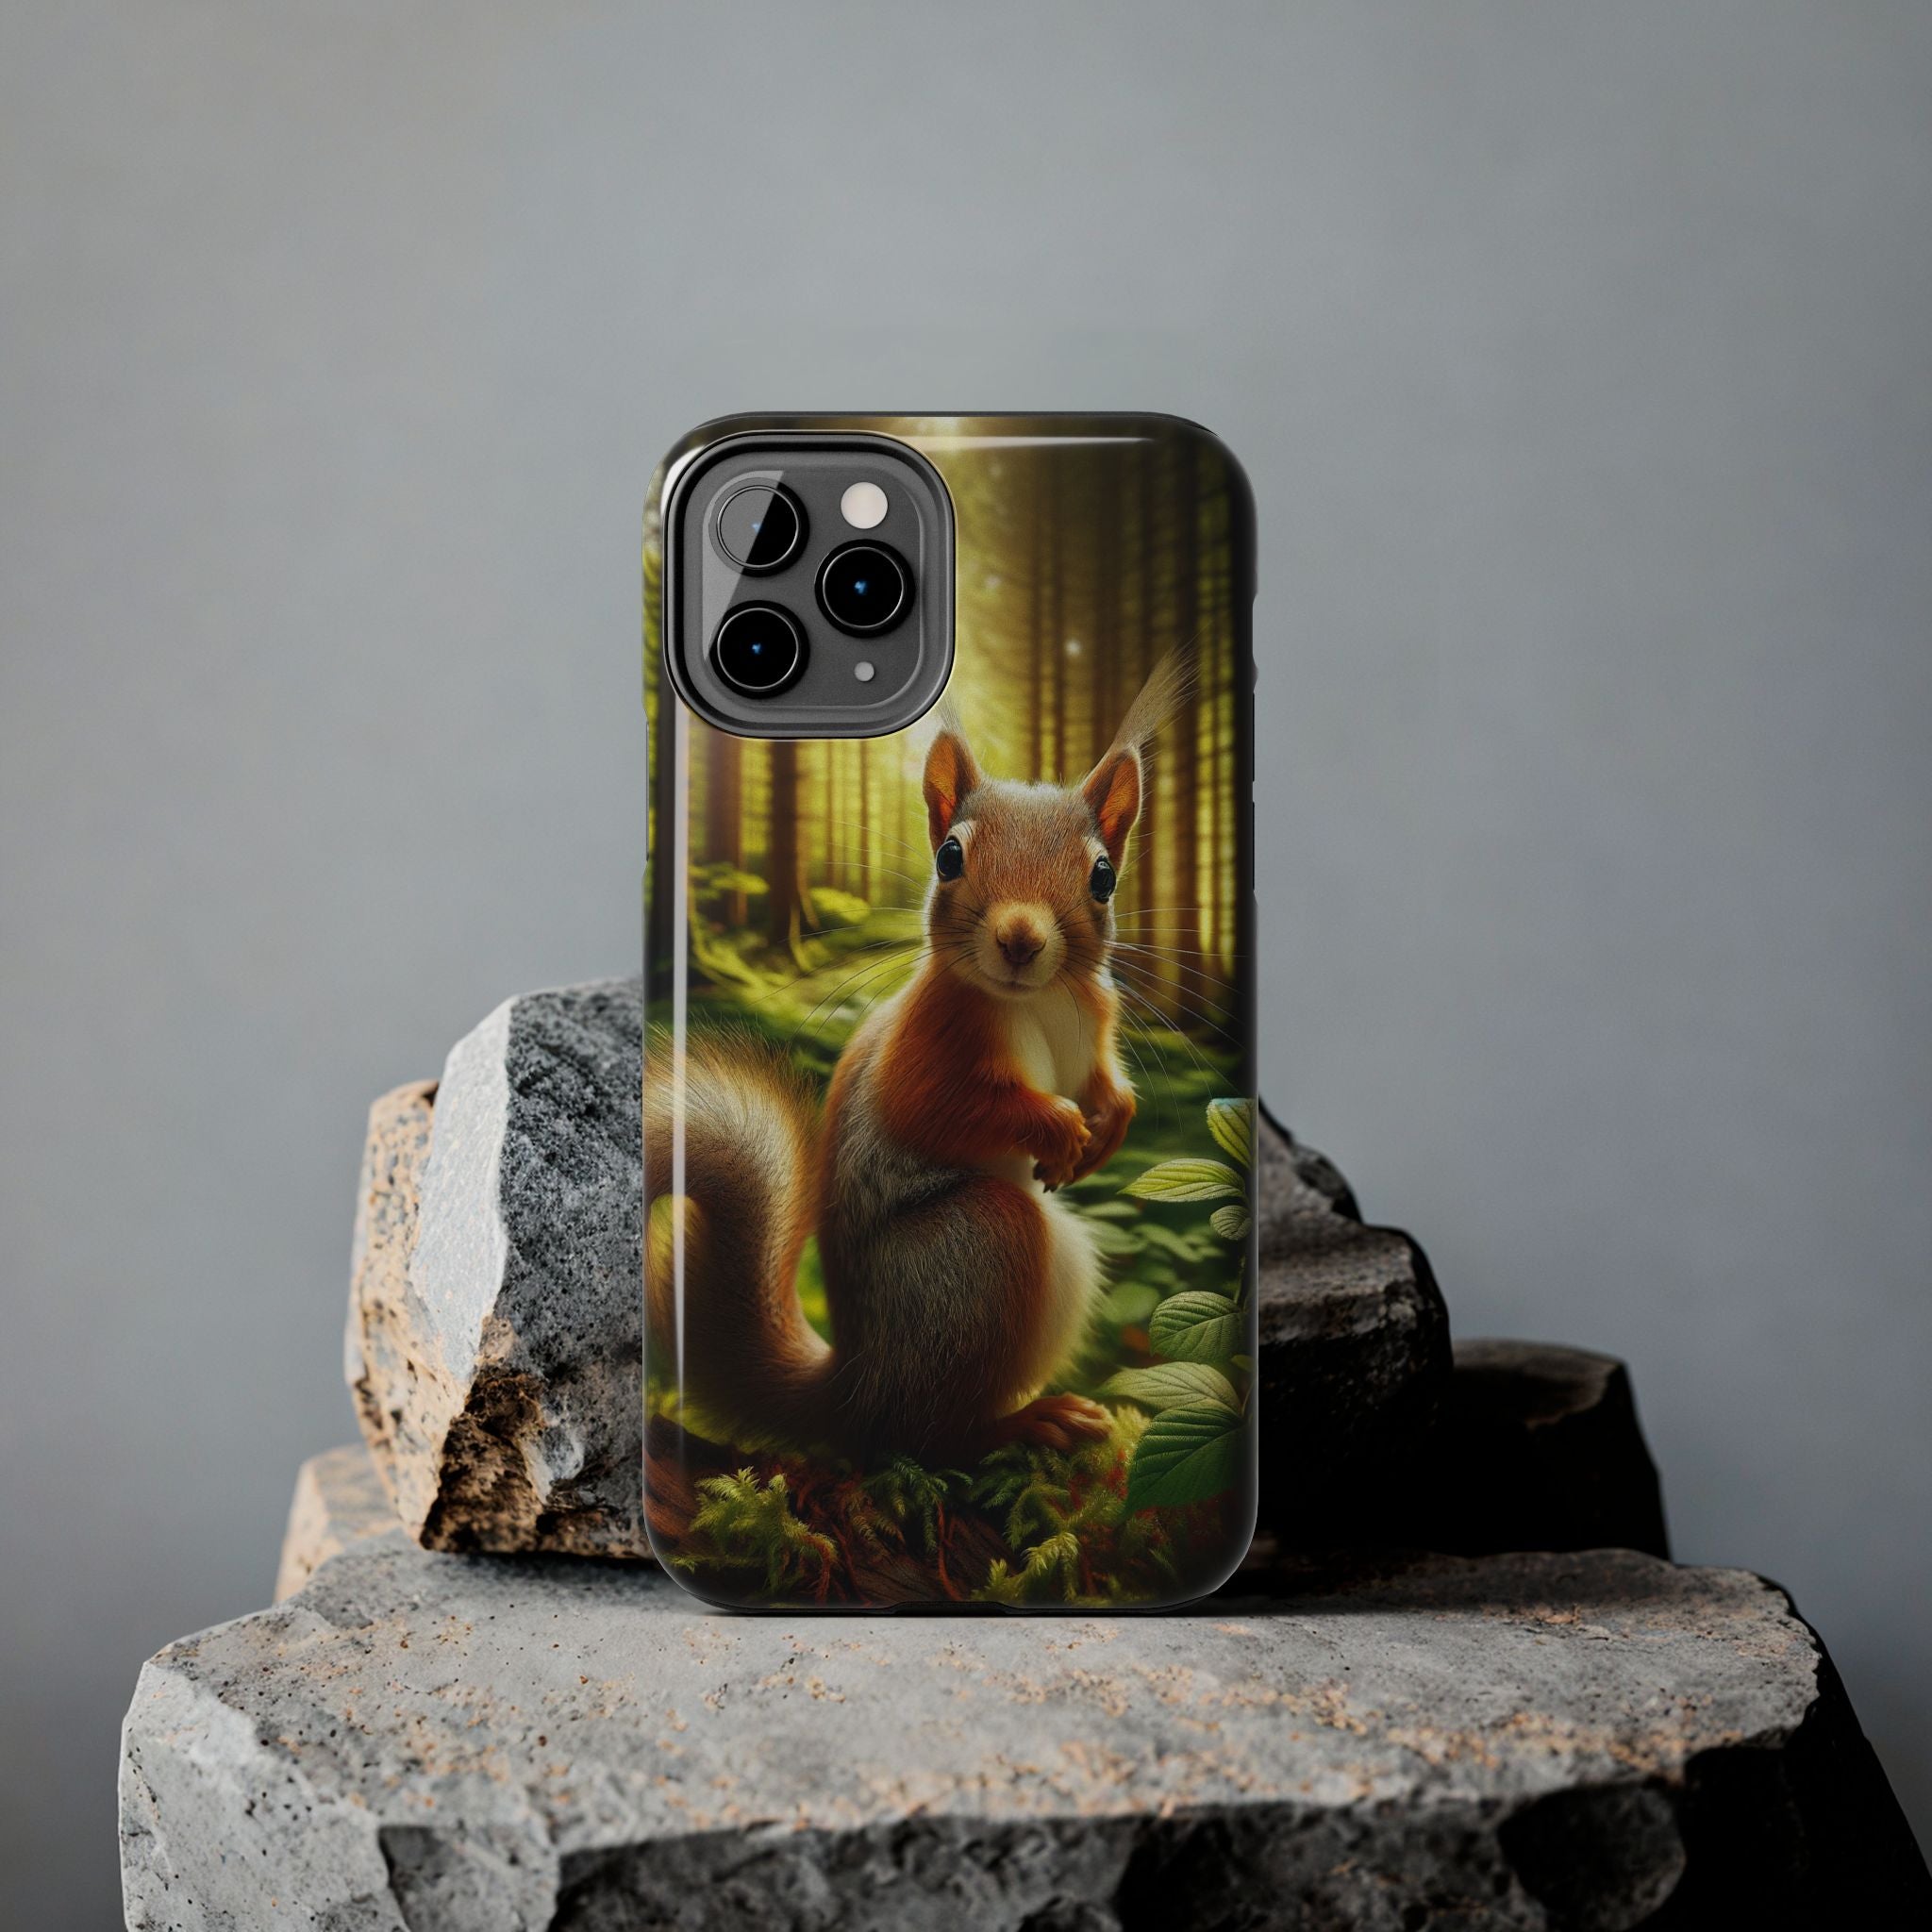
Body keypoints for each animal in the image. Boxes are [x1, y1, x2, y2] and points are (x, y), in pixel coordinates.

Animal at [645, 656, 1184, 1466]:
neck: (1041, 1000)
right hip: (980, 1246)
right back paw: (1024, 1423)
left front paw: (1108, 1125)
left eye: (1103, 877)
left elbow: (1103, 1084)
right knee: (926, 1436)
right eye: (950, 856)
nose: (1020, 940)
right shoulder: (928, 1042)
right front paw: (1057, 1127)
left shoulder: (1095, 1024)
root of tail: (854, 1389)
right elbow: (938, 1109)